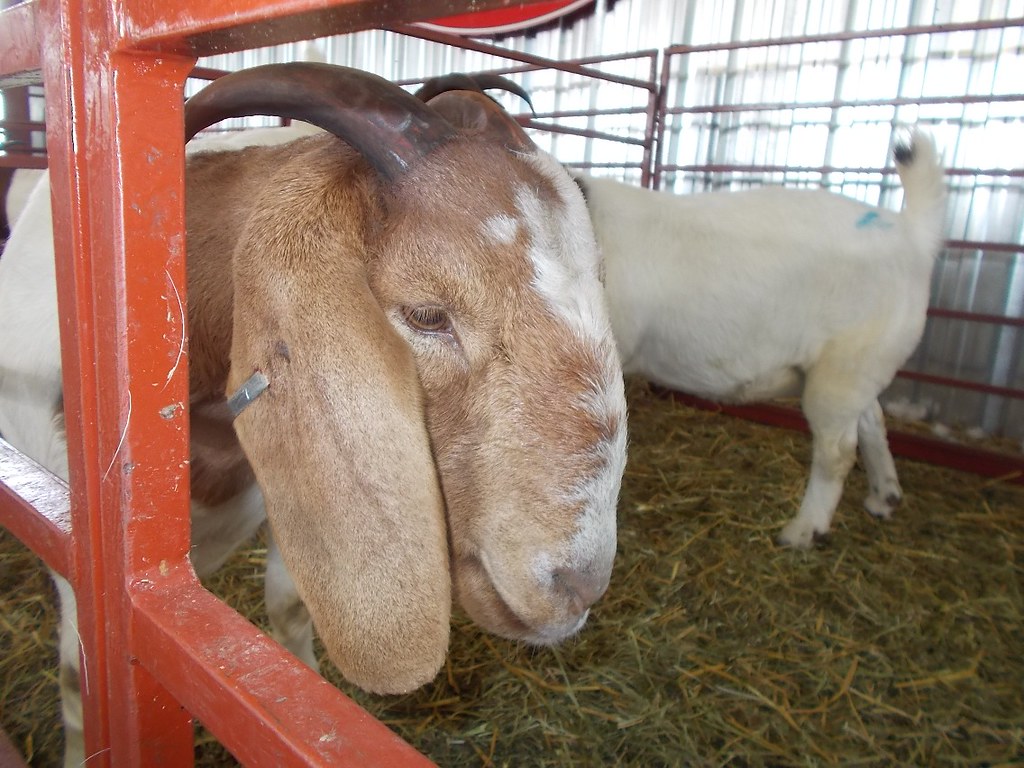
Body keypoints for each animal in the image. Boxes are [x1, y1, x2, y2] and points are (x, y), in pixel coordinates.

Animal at [573, 131, 945, 548]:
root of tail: (914, 233)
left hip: (845, 366)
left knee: (838, 451)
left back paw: (803, 532)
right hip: (863, 364)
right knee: (873, 420)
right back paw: (883, 498)